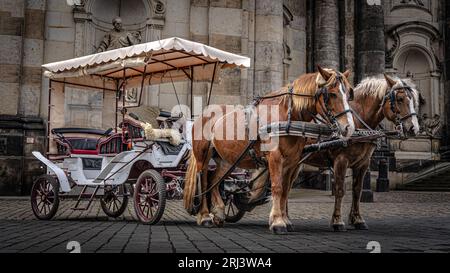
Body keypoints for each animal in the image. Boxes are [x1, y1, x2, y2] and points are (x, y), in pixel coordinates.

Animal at [185, 66, 356, 234]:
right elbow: (277, 187)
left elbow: (285, 190)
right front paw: (277, 222)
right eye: (332, 94)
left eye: (349, 93)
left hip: (227, 159)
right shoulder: (275, 157)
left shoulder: (292, 161)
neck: (287, 115)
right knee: (204, 181)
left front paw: (285, 220)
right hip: (203, 156)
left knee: (214, 180)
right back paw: (205, 216)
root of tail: (204, 114)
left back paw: (219, 213)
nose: (349, 127)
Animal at [302, 73, 422, 231]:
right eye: (400, 99)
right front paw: (337, 221)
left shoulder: (363, 163)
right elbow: (340, 190)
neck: (358, 125)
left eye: (413, 99)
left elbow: (357, 191)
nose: (414, 128)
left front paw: (357, 219)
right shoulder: (341, 161)